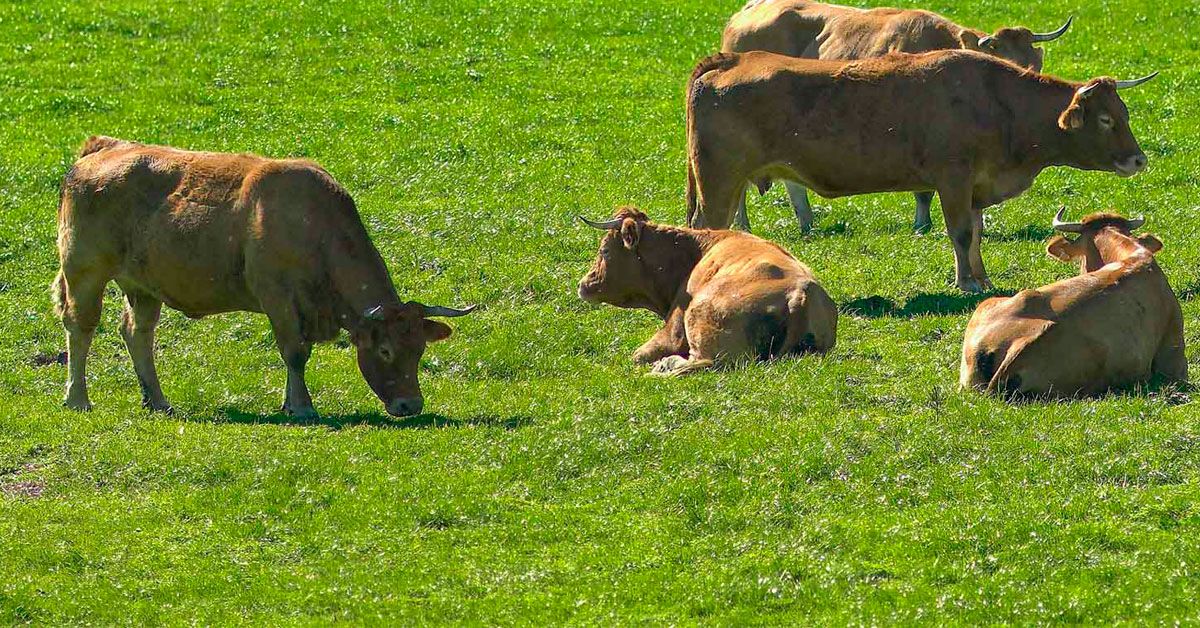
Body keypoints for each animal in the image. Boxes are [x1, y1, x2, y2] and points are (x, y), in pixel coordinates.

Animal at [52, 135, 472, 420]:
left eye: (419, 350)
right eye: (384, 350)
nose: (410, 404)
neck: (314, 225)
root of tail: (103, 148)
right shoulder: (278, 298)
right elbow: (295, 351)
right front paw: (301, 406)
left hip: (142, 286)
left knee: (137, 332)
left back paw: (157, 400)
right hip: (84, 271)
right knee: (81, 327)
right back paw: (78, 397)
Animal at [576, 206, 840, 377]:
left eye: (604, 251)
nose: (582, 284)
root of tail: (801, 293)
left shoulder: (672, 330)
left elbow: (638, 355)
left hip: (701, 319)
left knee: (703, 363)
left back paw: (663, 367)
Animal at [691, 50, 1156, 294]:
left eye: (1124, 112)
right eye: (1105, 120)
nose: (1138, 160)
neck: (997, 102)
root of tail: (730, 59)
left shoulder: (975, 186)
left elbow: (976, 232)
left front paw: (981, 276)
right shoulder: (953, 179)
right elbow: (961, 232)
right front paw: (966, 283)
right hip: (719, 182)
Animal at [715, 0, 1075, 232]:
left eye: (1033, 64)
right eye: (1003, 59)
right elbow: (925, 191)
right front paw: (922, 225)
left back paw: (806, 222)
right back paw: (743, 225)